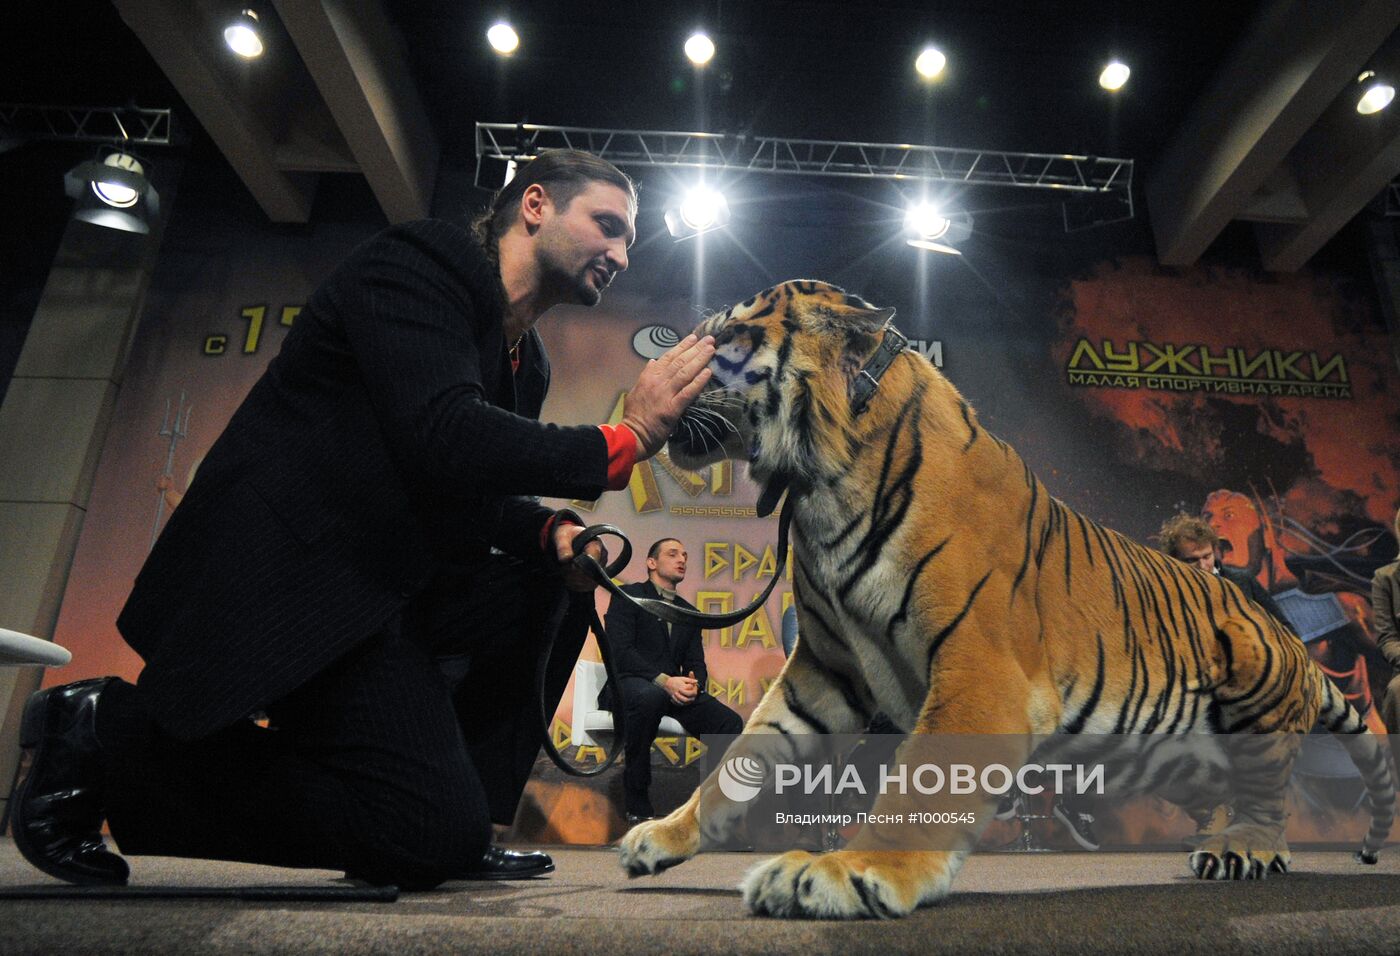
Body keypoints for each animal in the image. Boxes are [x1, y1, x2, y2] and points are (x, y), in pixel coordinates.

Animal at [618, 278, 1394, 918]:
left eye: (725, 337)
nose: (651, 380)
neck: (818, 485)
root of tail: (1284, 633)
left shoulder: (980, 670)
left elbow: (919, 782)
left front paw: (849, 870)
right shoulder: (825, 670)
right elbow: (743, 760)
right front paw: (664, 836)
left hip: (1252, 686)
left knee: (1271, 800)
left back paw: (1242, 847)